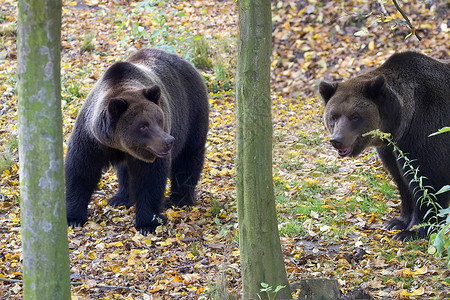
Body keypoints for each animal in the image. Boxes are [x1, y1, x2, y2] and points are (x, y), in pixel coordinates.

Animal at [65, 48, 209, 233]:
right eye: (143, 126)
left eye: (159, 119)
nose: (168, 141)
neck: (119, 145)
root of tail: (186, 62)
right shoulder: (92, 140)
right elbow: (81, 170)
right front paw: (73, 218)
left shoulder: (150, 152)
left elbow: (150, 178)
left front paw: (148, 223)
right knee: (125, 171)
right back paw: (120, 198)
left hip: (191, 112)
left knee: (188, 157)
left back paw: (179, 199)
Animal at [318, 50, 448, 240]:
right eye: (333, 116)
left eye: (354, 116)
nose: (337, 140)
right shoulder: (391, 149)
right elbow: (401, 179)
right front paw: (397, 222)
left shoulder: (426, 133)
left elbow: (427, 181)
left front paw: (413, 231)